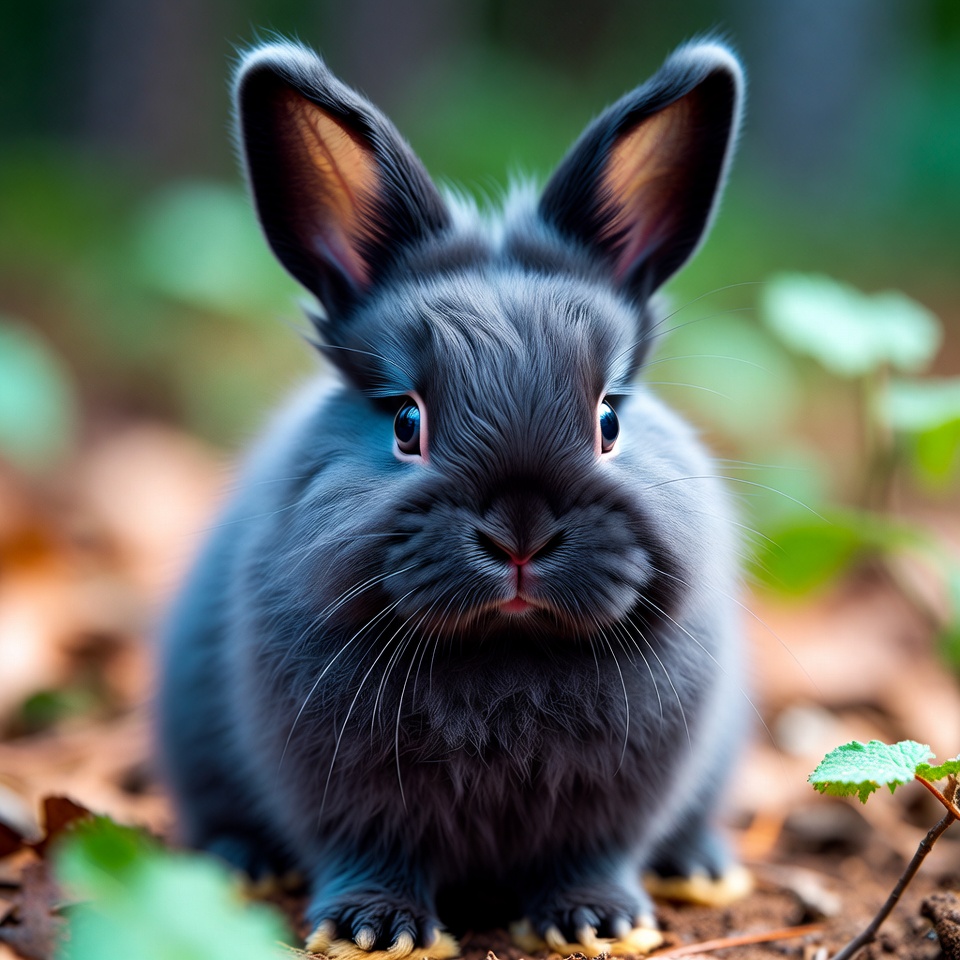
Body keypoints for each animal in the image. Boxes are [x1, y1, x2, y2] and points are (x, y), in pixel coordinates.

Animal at [157, 36, 750, 960]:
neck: (504, 655)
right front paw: (371, 929)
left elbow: (595, 853)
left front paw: (598, 920)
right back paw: (241, 867)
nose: (521, 534)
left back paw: (702, 869)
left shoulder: (622, 799)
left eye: (609, 419)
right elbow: (367, 849)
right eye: (408, 422)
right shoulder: (341, 791)